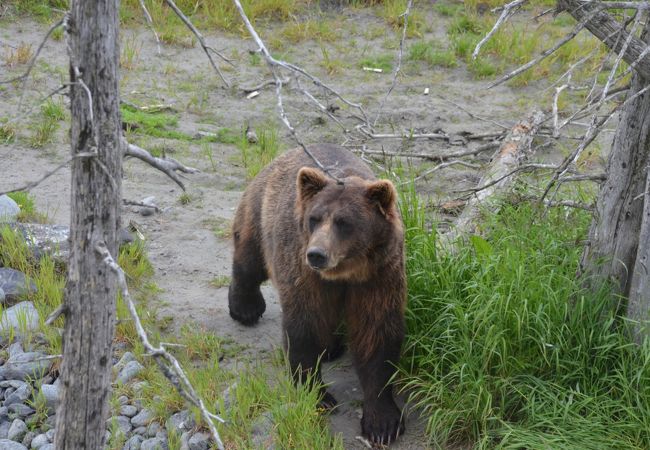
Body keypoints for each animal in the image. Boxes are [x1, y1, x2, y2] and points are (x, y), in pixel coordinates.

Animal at [228, 143, 404, 442]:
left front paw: (383, 422)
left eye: (344, 222)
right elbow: (304, 326)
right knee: (250, 259)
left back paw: (332, 347)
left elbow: (376, 334)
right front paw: (318, 396)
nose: (317, 254)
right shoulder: (305, 274)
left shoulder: (379, 278)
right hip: (261, 213)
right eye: (314, 218)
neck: (345, 272)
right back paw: (245, 307)